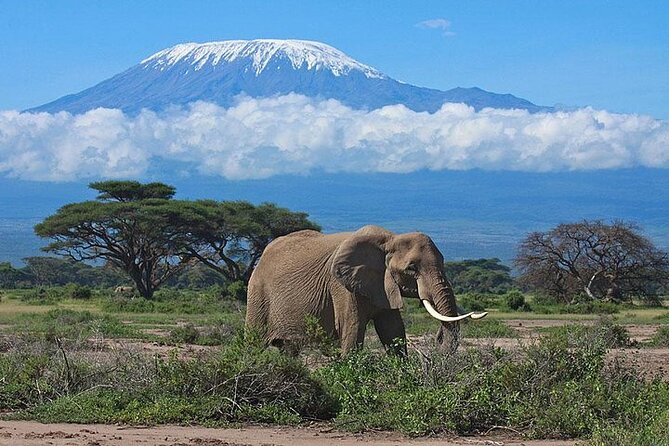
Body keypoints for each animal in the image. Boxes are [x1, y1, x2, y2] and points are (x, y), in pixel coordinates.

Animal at [245, 225, 486, 354]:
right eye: (412, 268)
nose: (437, 338)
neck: (389, 240)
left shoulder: (383, 284)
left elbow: (393, 331)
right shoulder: (341, 287)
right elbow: (352, 331)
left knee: (289, 350)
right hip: (257, 293)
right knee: (254, 342)